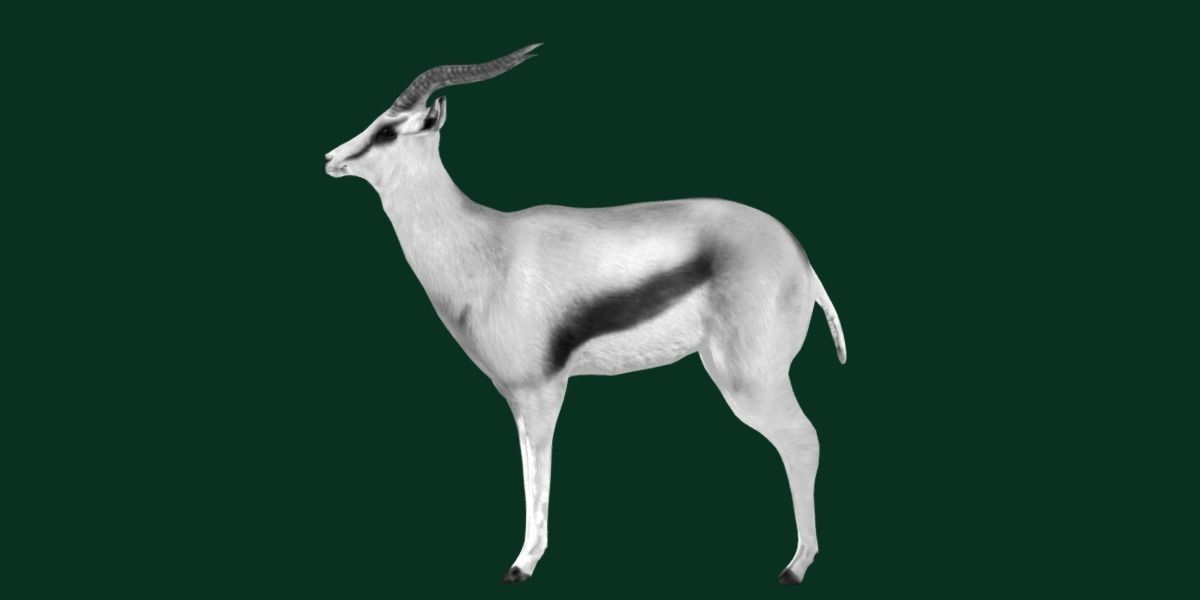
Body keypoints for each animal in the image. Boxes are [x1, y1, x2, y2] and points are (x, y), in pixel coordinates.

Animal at [324, 44, 847, 585]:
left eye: (388, 131)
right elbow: (529, 469)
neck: (485, 248)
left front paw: (522, 565)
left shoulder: (542, 391)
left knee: (803, 440)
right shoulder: (515, 396)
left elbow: (538, 473)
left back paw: (796, 567)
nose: (330, 159)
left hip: (749, 380)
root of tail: (803, 261)